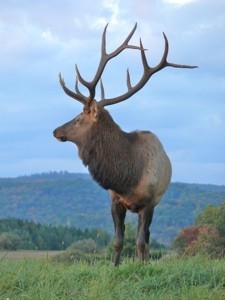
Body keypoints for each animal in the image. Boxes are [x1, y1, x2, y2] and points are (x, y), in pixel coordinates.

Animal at [53, 24, 197, 268]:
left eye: (79, 119)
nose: (55, 131)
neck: (127, 178)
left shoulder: (148, 203)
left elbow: (139, 241)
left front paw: (140, 267)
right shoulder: (115, 201)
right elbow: (118, 241)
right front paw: (114, 267)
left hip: (154, 204)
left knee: (146, 238)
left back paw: (144, 262)